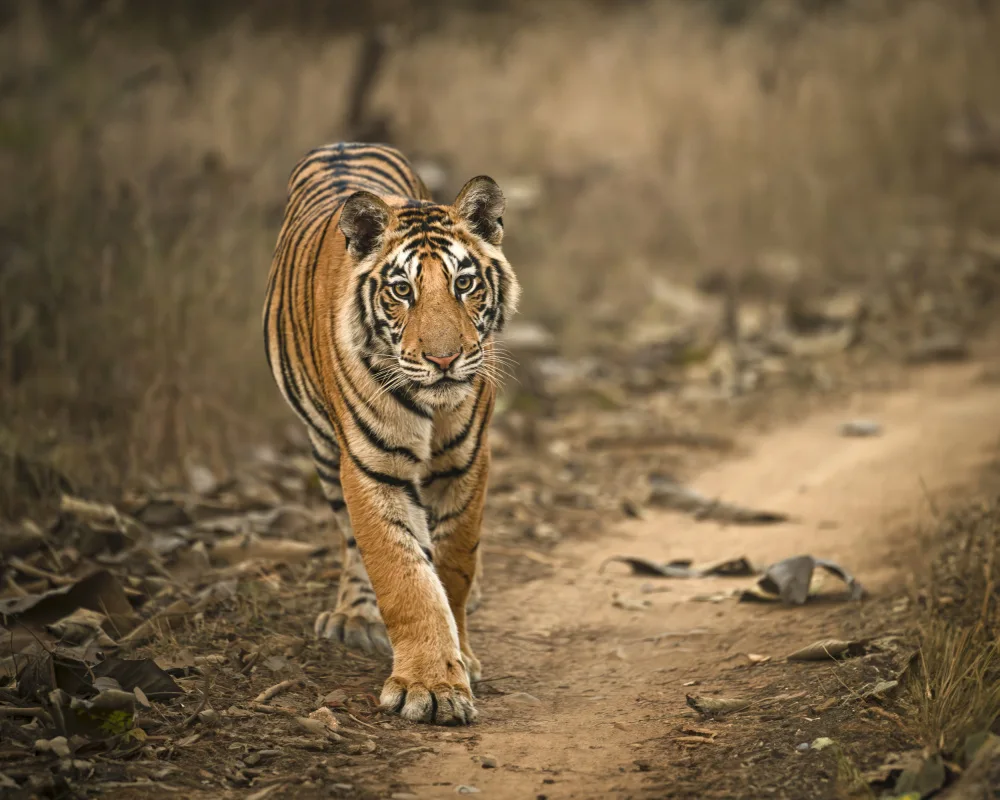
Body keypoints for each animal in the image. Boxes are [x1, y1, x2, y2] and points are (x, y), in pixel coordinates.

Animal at [262, 142, 520, 725]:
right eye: (402, 290)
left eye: (464, 284)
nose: (444, 360)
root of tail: (343, 144)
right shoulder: (371, 467)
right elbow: (404, 576)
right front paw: (430, 686)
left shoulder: (467, 463)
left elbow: (452, 564)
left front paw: (460, 661)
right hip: (323, 449)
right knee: (349, 539)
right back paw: (355, 618)